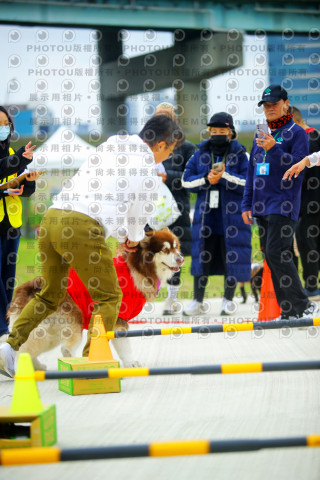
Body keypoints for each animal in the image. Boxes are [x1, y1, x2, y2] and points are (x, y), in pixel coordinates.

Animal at [7, 227, 184, 370]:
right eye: (165, 250)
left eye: (176, 247)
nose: (181, 259)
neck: (137, 268)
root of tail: (28, 288)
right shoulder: (119, 318)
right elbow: (124, 345)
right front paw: (131, 363)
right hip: (71, 322)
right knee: (57, 347)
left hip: (49, 332)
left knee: (27, 347)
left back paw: (35, 366)